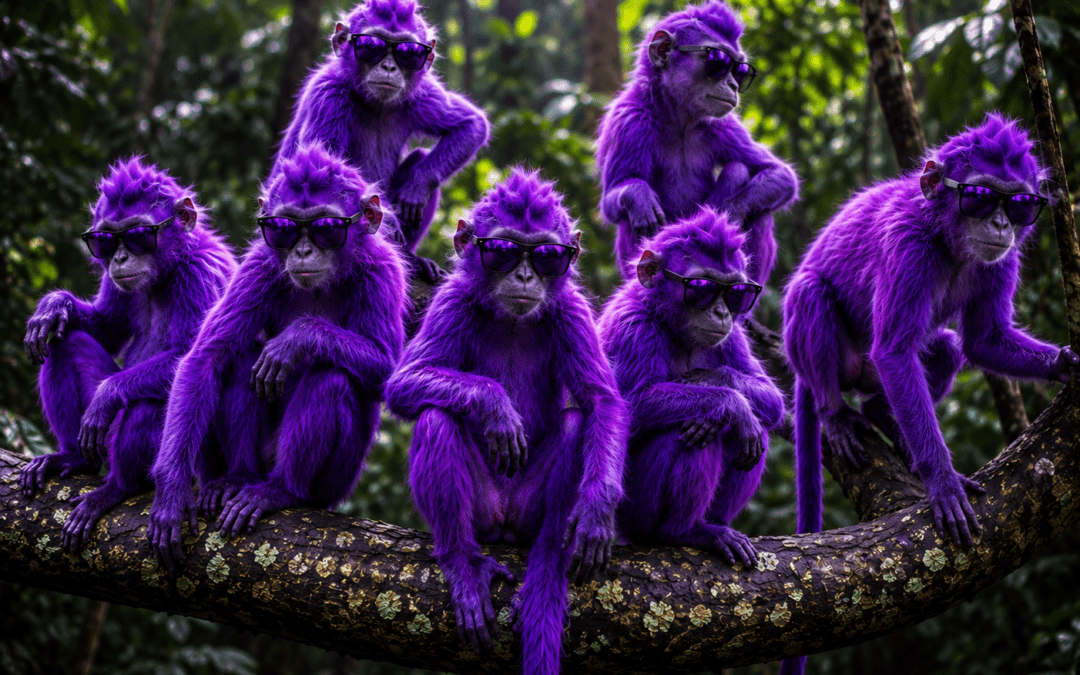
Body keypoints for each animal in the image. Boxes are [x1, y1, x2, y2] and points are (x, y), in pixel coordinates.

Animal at [20, 158, 236, 552]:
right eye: (107, 239)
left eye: (137, 234)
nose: (120, 256)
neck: (166, 270)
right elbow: (107, 326)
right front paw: (52, 306)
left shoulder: (201, 275)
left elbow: (193, 357)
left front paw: (107, 395)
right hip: (100, 444)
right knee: (65, 345)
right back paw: (71, 457)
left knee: (150, 401)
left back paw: (119, 488)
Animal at [384, 169, 628, 675]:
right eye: (503, 250)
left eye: (546, 254)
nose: (525, 273)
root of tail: (504, 523)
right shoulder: (452, 301)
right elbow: (406, 380)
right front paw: (495, 407)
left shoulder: (572, 311)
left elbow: (602, 402)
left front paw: (597, 512)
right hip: (482, 511)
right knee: (436, 418)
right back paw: (462, 564)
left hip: (528, 511)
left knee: (574, 425)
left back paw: (550, 561)